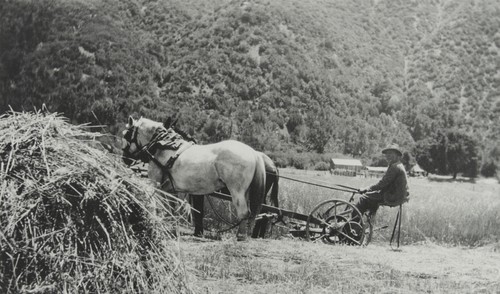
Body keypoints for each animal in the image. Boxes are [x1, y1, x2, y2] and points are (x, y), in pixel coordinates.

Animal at [121, 116, 266, 240]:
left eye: (126, 135)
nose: (125, 159)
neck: (163, 145)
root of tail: (253, 152)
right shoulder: (170, 189)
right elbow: (171, 210)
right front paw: (171, 229)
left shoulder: (157, 185)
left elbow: (161, 207)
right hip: (245, 191)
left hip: (236, 190)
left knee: (243, 212)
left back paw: (240, 236)